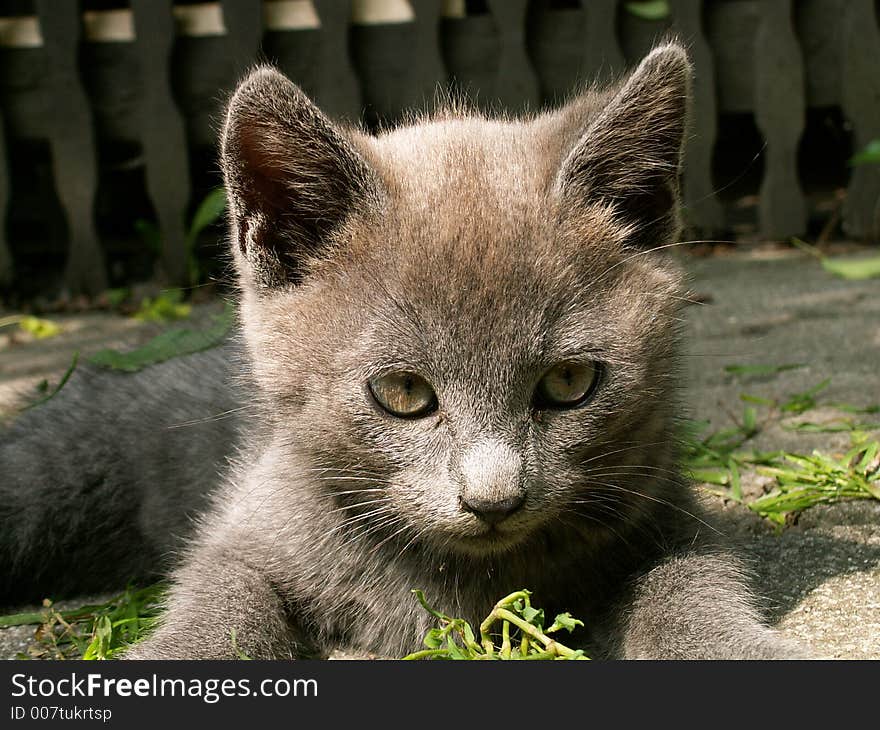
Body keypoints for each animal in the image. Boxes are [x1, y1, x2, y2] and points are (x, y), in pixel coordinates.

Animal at [0, 45, 804, 660]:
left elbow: (689, 585)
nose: (493, 500)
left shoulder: (665, 513)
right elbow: (220, 600)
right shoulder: (251, 526)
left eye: (571, 382)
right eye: (403, 393)